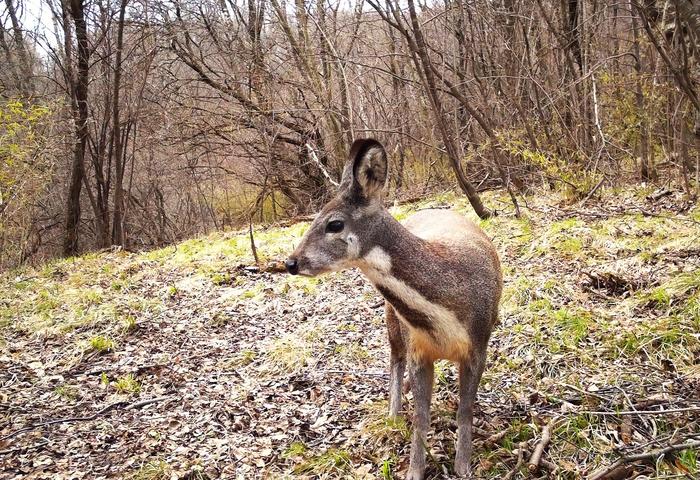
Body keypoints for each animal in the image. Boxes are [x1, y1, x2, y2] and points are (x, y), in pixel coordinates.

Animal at [286, 137, 504, 478]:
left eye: (334, 224)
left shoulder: (478, 345)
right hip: (391, 318)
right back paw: (393, 414)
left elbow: (464, 410)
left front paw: (463, 466)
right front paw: (415, 470)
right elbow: (421, 417)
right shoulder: (418, 350)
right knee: (393, 359)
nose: (292, 262)